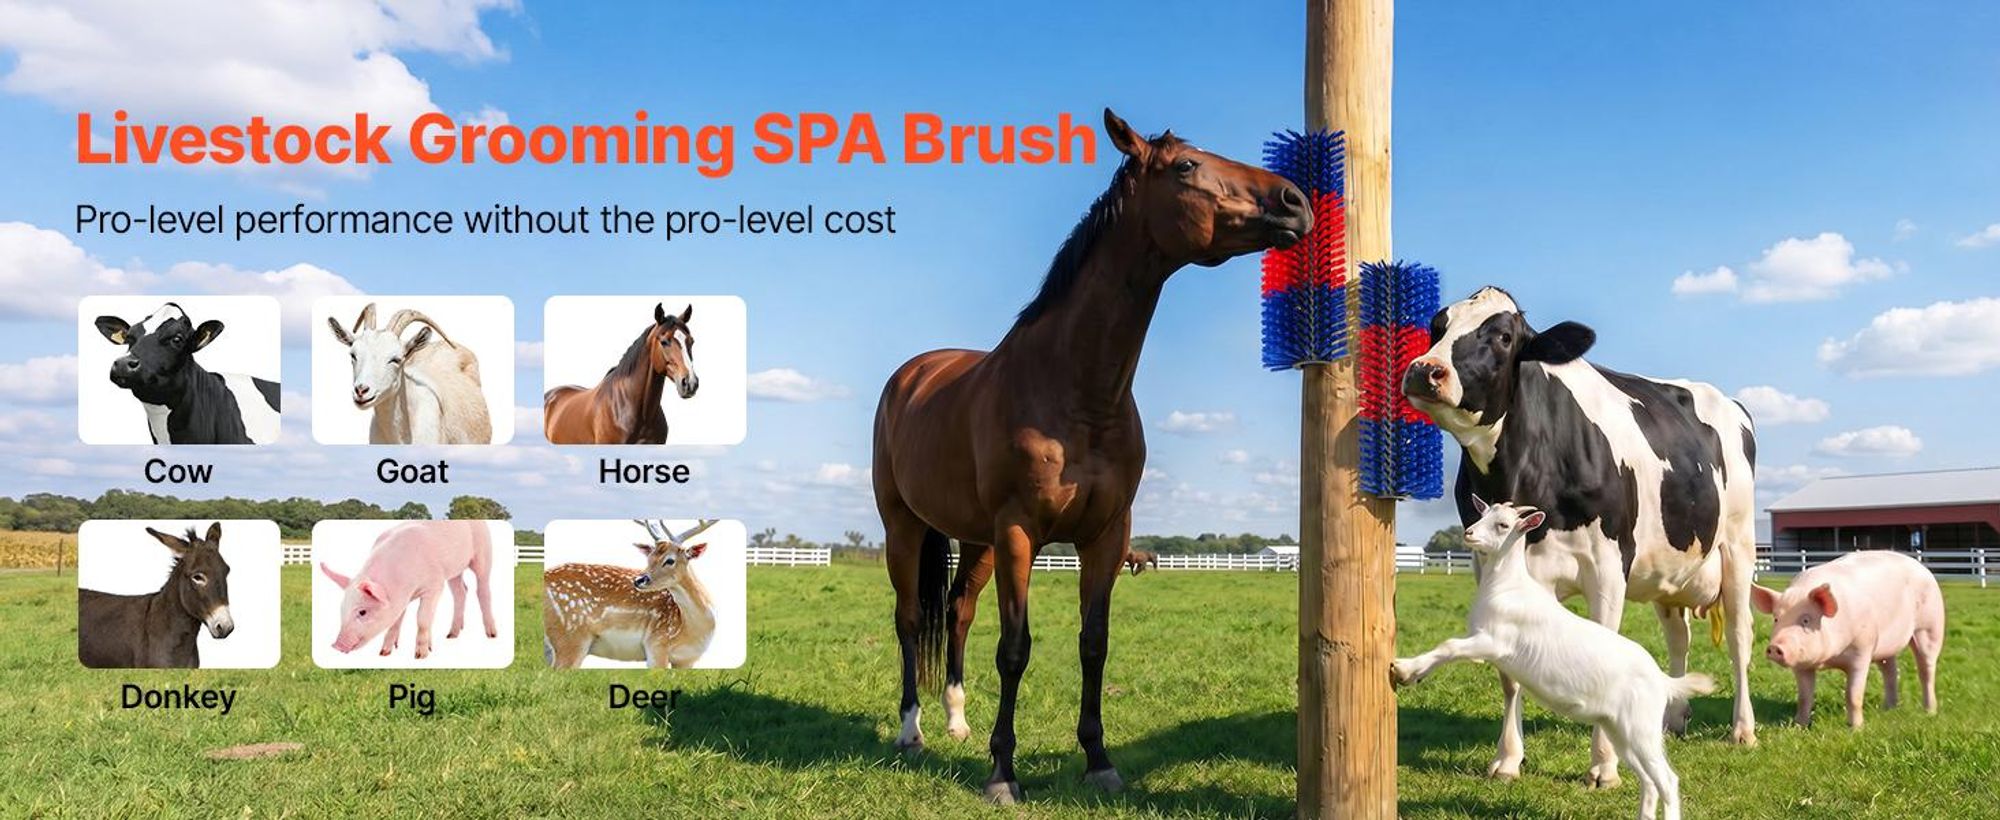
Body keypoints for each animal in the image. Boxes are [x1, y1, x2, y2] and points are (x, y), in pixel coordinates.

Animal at [873, 108, 1311, 803]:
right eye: (1187, 166)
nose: (1296, 202)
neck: (1075, 389)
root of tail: (911, 374)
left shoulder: (1107, 535)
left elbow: (1094, 644)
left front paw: (1099, 760)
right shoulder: (1020, 532)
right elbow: (1015, 649)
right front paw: (1002, 774)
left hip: (975, 540)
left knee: (960, 614)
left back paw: (957, 721)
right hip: (905, 527)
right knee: (912, 619)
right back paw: (911, 730)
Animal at [1392, 497, 1715, 820]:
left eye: (1503, 525)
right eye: (1482, 514)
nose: (1469, 533)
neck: (1508, 585)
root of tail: (1663, 681)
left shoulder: (1493, 641)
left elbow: (1449, 646)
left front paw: (1404, 669)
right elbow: (1451, 649)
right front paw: (1413, 674)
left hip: (1641, 728)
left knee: (1667, 780)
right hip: (1621, 729)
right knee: (1648, 780)